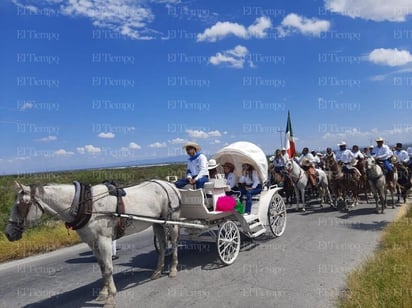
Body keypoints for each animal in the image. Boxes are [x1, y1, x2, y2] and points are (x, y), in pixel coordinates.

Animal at [4, 180, 182, 308]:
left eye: (21, 205)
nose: (8, 233)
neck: (84, 205)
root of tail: (168, 184)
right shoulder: (92, 242)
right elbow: (102, 268)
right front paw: (103, 292)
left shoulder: (104, 240)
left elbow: (109, 268)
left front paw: (111, 298)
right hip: (157, 222)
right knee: (162, 245)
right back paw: (157, 271)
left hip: (171, 221)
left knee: (173, 243)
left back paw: (173, 269)